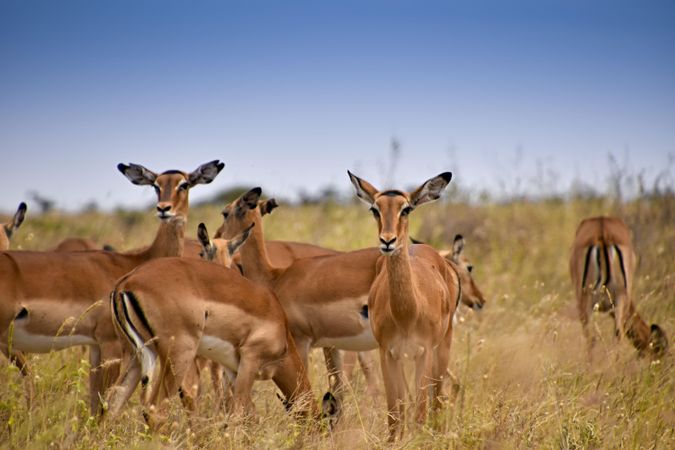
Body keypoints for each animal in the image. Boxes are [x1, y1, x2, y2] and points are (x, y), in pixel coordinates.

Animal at [572, 216, 672, 356]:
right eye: (660, 350)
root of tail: (603, 233)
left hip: (593, 301)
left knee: (601, 337)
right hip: (613, 300)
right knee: (612, 336)